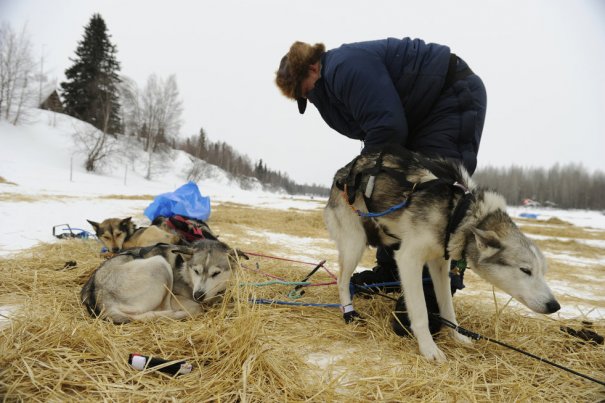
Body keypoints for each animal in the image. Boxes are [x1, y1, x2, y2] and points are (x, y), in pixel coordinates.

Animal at [79, 240, 238, 326]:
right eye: (196, 271)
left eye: (216, 273)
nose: (198, 295)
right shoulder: (178, 297)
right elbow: (197, 306)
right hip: (160, 264)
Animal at [324, 148, 560, 362]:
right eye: (525, 270)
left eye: (543, 271)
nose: (555, 306)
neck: (459, 212)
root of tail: (343, 171)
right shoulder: (409, 259)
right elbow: (420, 311)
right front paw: (429, 348)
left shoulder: (439, 265)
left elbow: (448, 308)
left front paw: (456, 336)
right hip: (354, 244)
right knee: (342, 281)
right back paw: (349, 312)